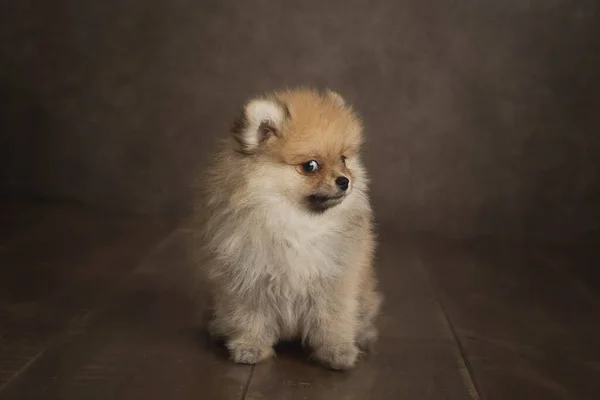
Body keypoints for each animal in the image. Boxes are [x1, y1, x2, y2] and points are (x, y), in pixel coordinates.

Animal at [192, 88, 380, 372]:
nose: (345, 181)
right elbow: (249, 316)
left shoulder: (335, 281)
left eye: (343, 159)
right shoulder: (247, 279)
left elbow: (334, 319)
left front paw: (336, 351)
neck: (298, 223)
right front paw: (249, 347)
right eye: (310, 166)